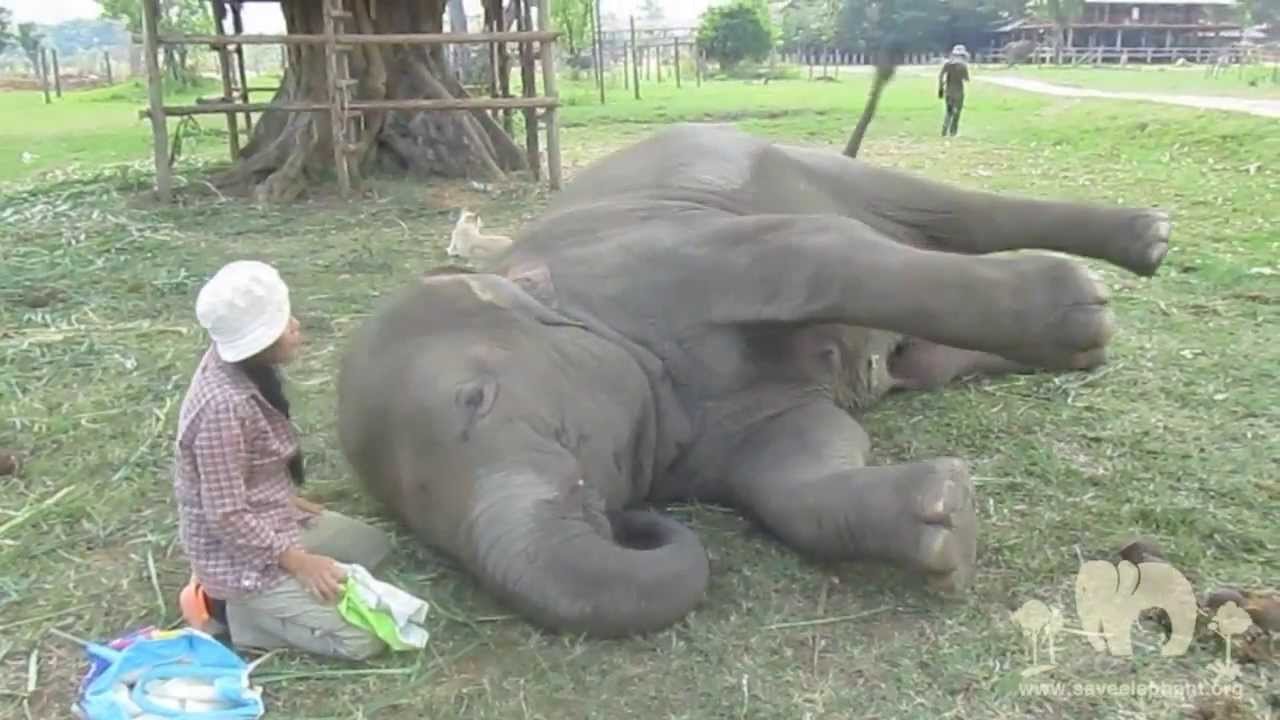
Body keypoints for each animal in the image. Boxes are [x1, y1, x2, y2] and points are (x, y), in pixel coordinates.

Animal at [336, 123, 1172, 638]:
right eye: (427, 535)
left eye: (476, 399)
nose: (633, 522)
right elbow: (798, 467)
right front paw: (945, 515)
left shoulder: (676, 254)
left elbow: (817, 253)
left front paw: (1080, 303)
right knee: (921, 354)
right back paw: (1081, 349)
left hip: (816, 166)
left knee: (944, 215)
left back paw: (1121, 268)